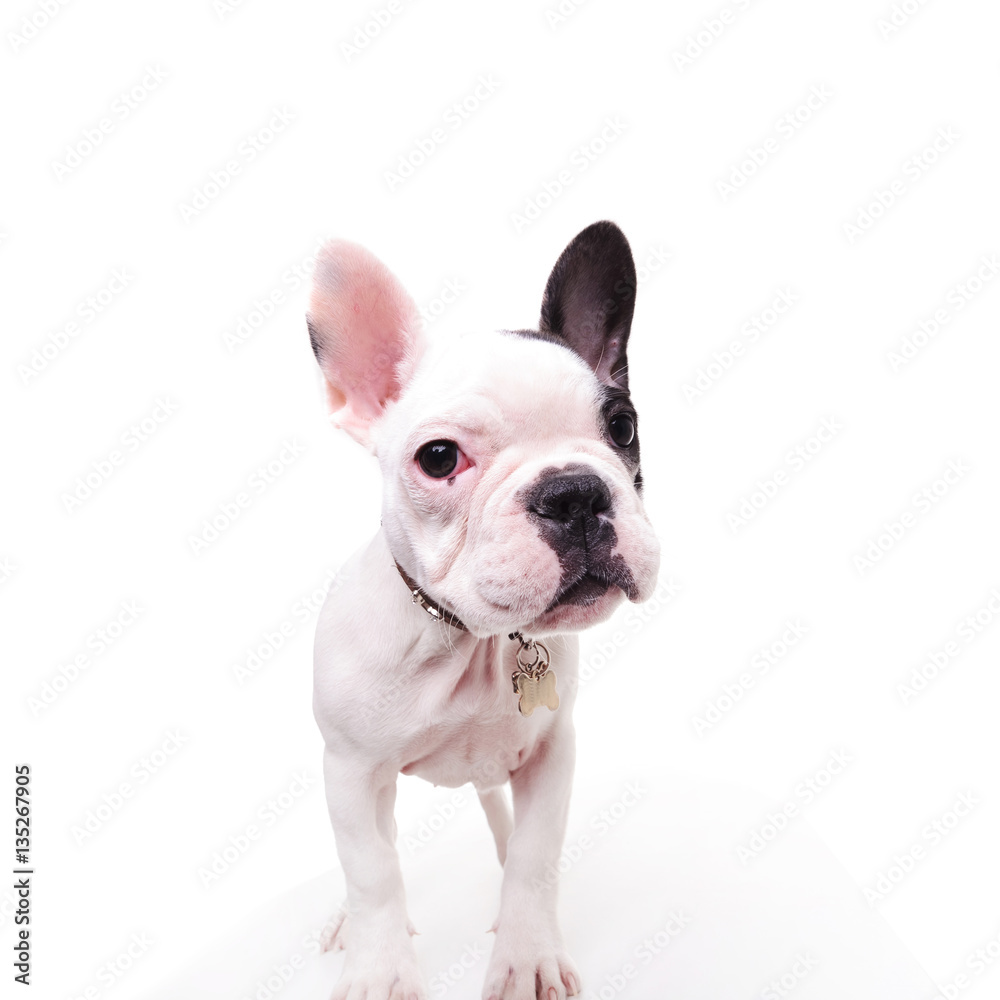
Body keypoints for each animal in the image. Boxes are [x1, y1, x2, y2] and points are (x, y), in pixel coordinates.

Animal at [308, 221, 660, 1000]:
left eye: (622, 427)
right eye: (439, 458)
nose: (574, 492)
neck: (476, 640)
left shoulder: (553, 753)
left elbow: (534, 856)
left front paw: (527, 955)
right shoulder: (351, 771)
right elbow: (372, 871)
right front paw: (379, 968)